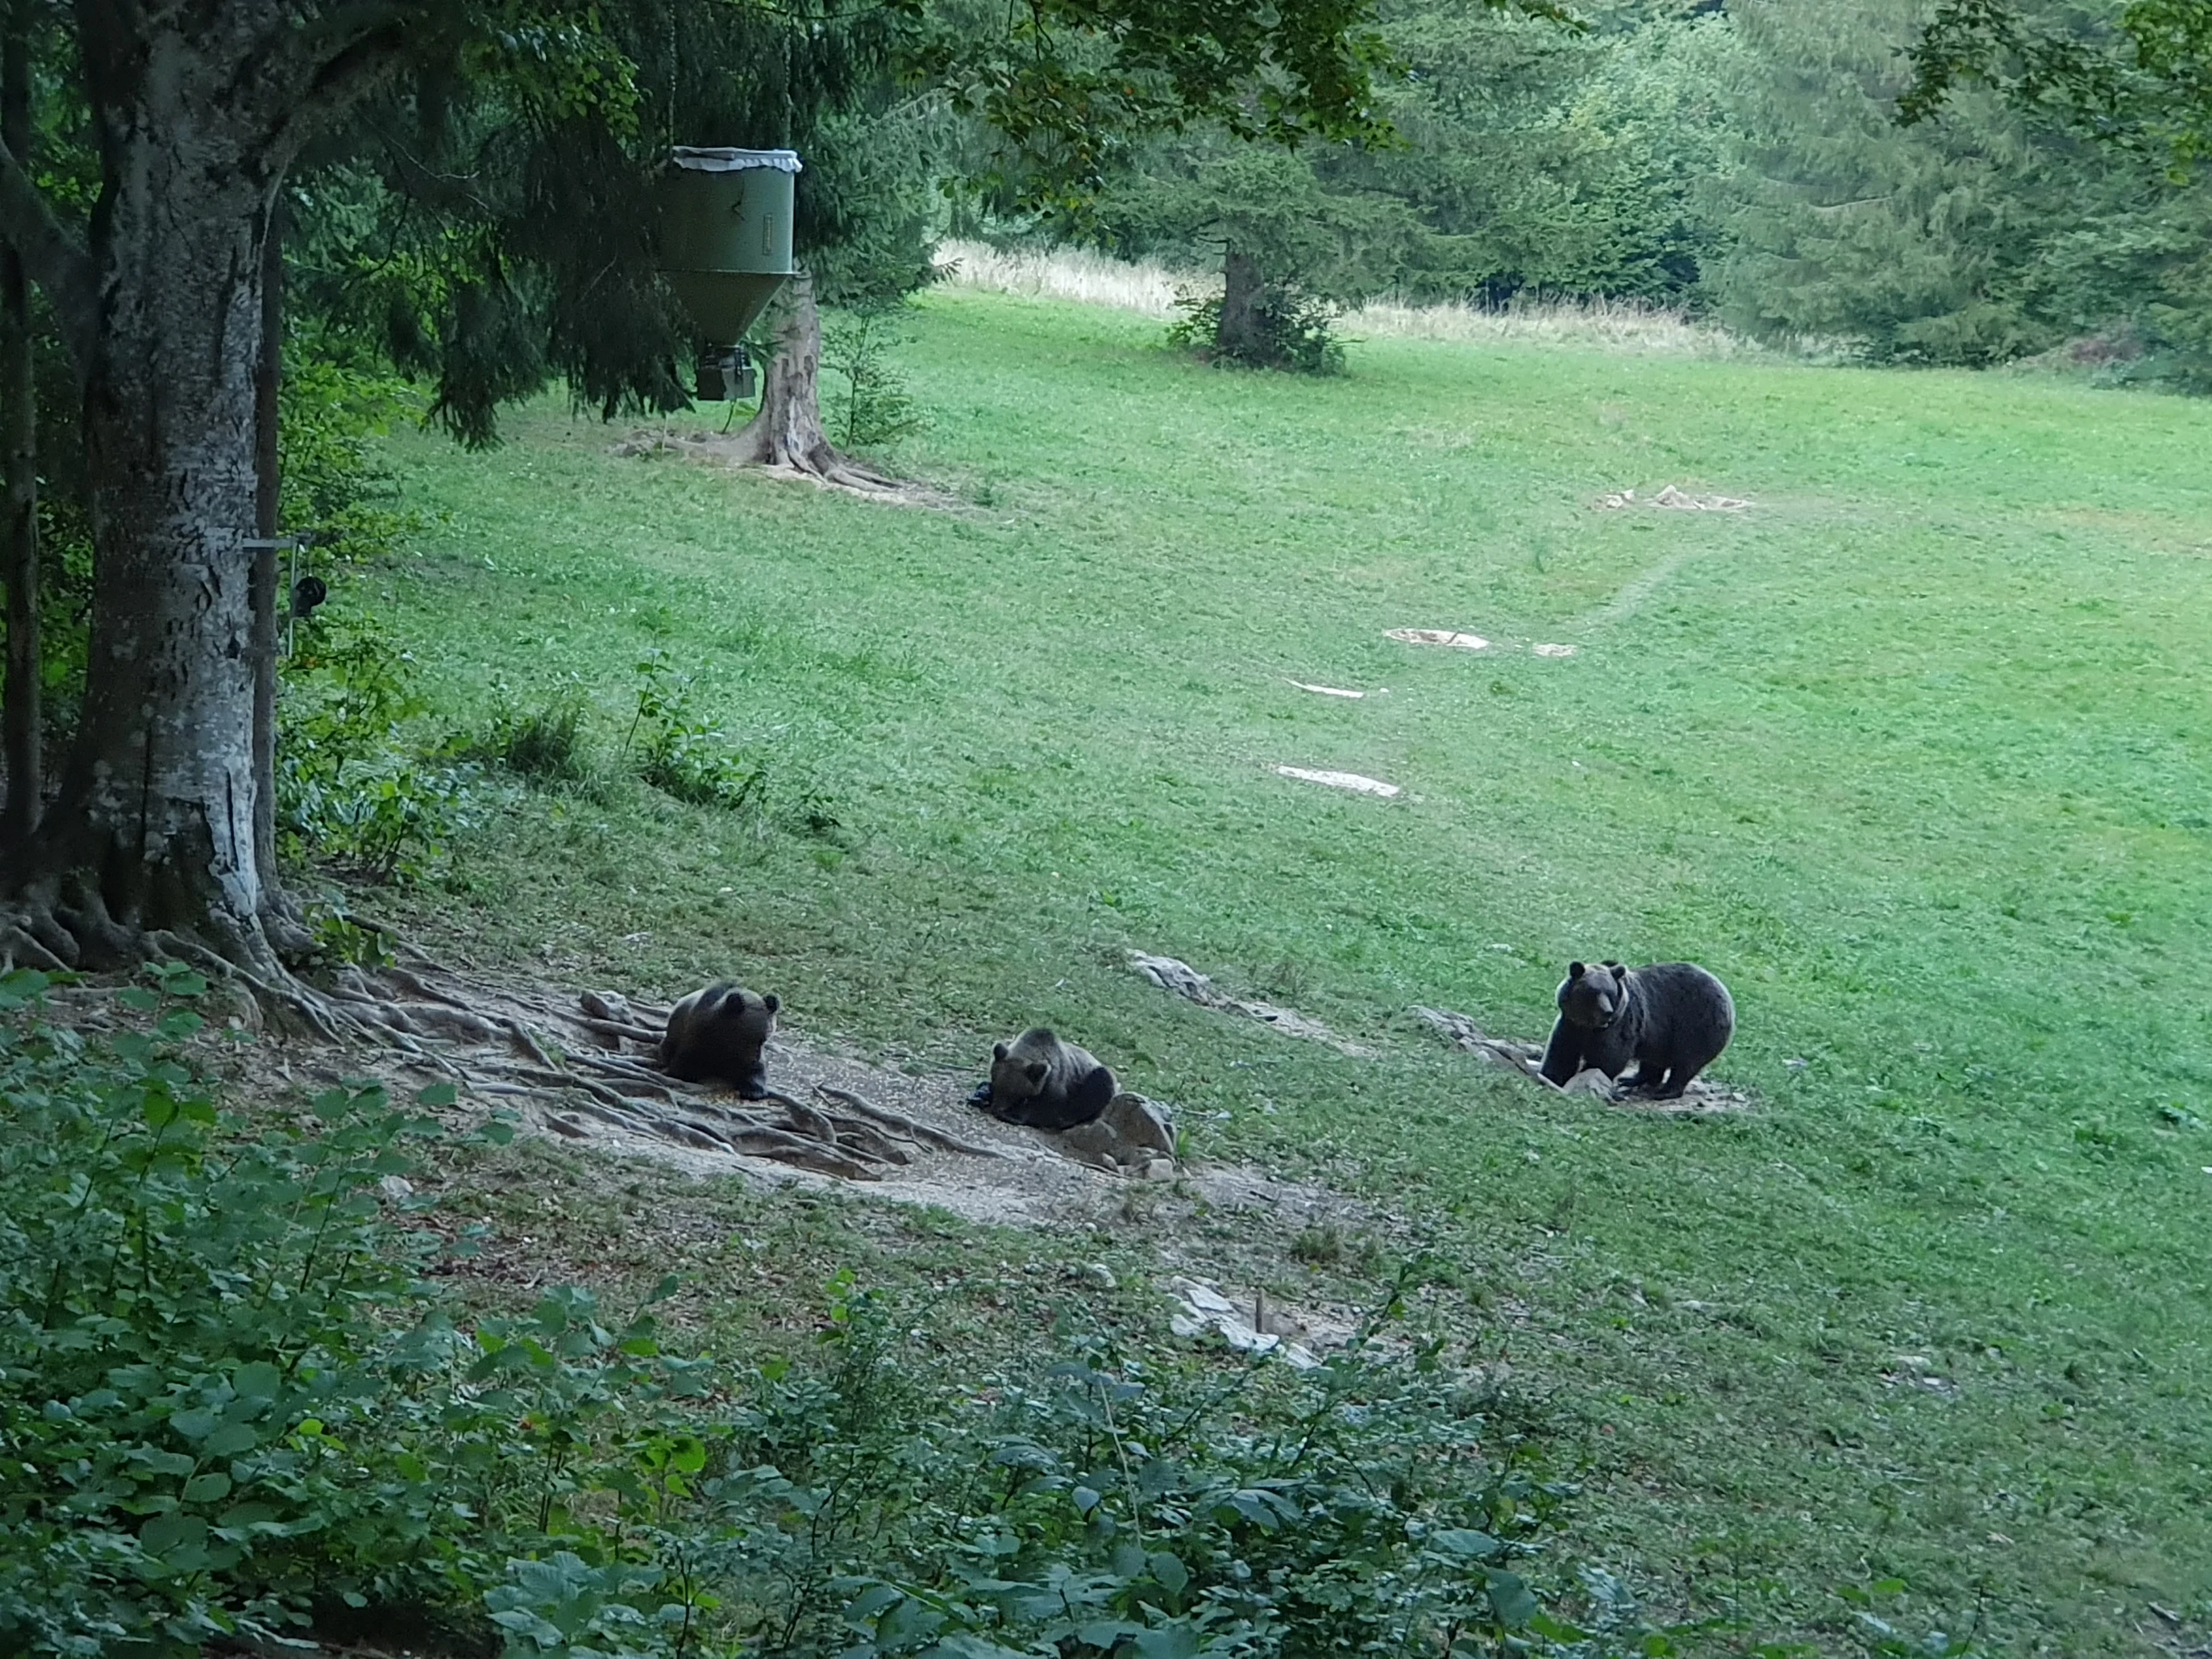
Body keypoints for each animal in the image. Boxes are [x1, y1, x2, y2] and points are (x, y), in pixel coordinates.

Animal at [658, 982, 780, 1097]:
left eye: (763, 1040)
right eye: (746, 1039)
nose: (754, 1059)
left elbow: (757, 1073)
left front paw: (754, 1090)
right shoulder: (699, 1036)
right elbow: (686, 1061)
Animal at [984, 1028, 1119, 1130]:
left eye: (1014, 1093)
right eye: (996, 1085)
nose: (996, 1109)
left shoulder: (1056, 1088)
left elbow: (1044, 1109)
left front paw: (1012, 1116)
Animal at [1539, 960, 1733, 1100]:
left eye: (1609, 992)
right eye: (1593, 992)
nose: (1607, 1011)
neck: (1589, 1026)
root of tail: (1726, 994)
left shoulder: (1618, 1027)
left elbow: (1607, 1058)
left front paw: (1587, 1077)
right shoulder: (1570, 1025)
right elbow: (1562, 1053)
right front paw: (1552, 1077)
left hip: (1696, 1025)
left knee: (1686, 1062)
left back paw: (1664, 1092)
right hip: (1662, 1035)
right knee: (1654, 1061)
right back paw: (1632, 1079)